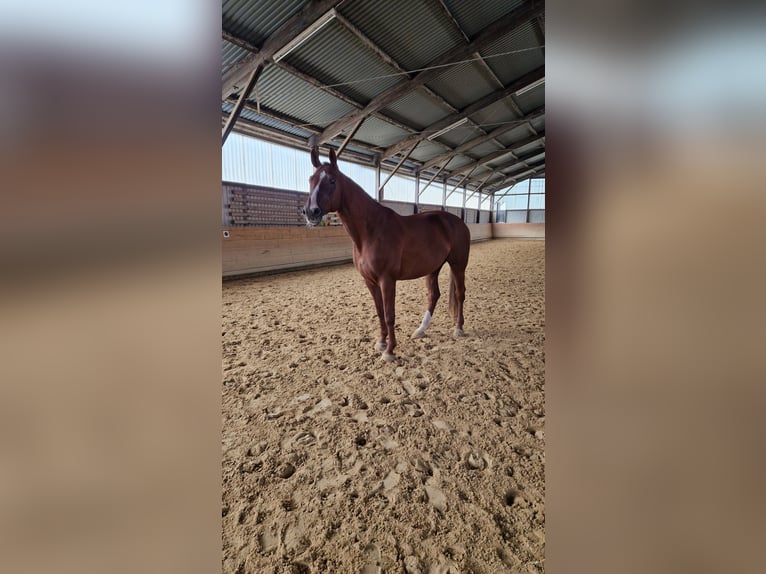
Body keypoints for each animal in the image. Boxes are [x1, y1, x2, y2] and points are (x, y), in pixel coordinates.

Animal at [304, 148, 472, 364]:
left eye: (332, 180)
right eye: (311, 179)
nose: (311, 212)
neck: (371, 231)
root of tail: (457, 221)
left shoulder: (387, 280)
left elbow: (390, 314)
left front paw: (390, 350)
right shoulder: (370, 281)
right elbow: (380, 312)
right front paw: (381, 343)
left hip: (458, 265)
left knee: (460, 294)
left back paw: (458, 328)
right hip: (433, 268)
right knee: (433, 295)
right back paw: (420, 330)